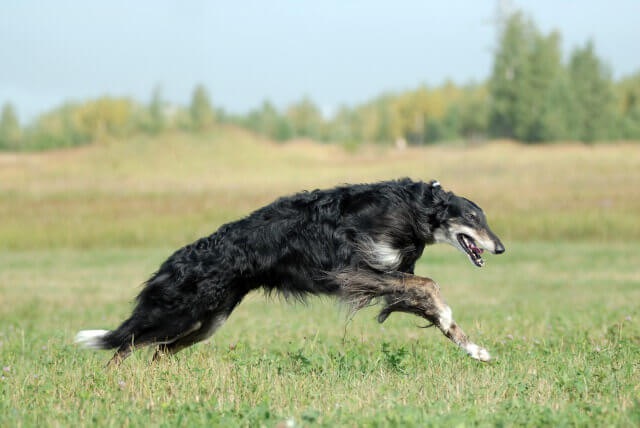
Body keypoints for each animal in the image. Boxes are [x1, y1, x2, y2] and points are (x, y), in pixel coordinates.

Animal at [75, 177, 504, 364]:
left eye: (485, 218)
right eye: (472, 218)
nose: (500, 247)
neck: (414, 208)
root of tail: (175, 260)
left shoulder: (385, 276)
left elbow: (430, 303)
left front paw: (475, 348)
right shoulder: (356, 271)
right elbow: (430, 286)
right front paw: (465, 336)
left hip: (209, 321)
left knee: (157, 350)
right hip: (179, 312)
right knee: (125, 344)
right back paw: (119, 381)